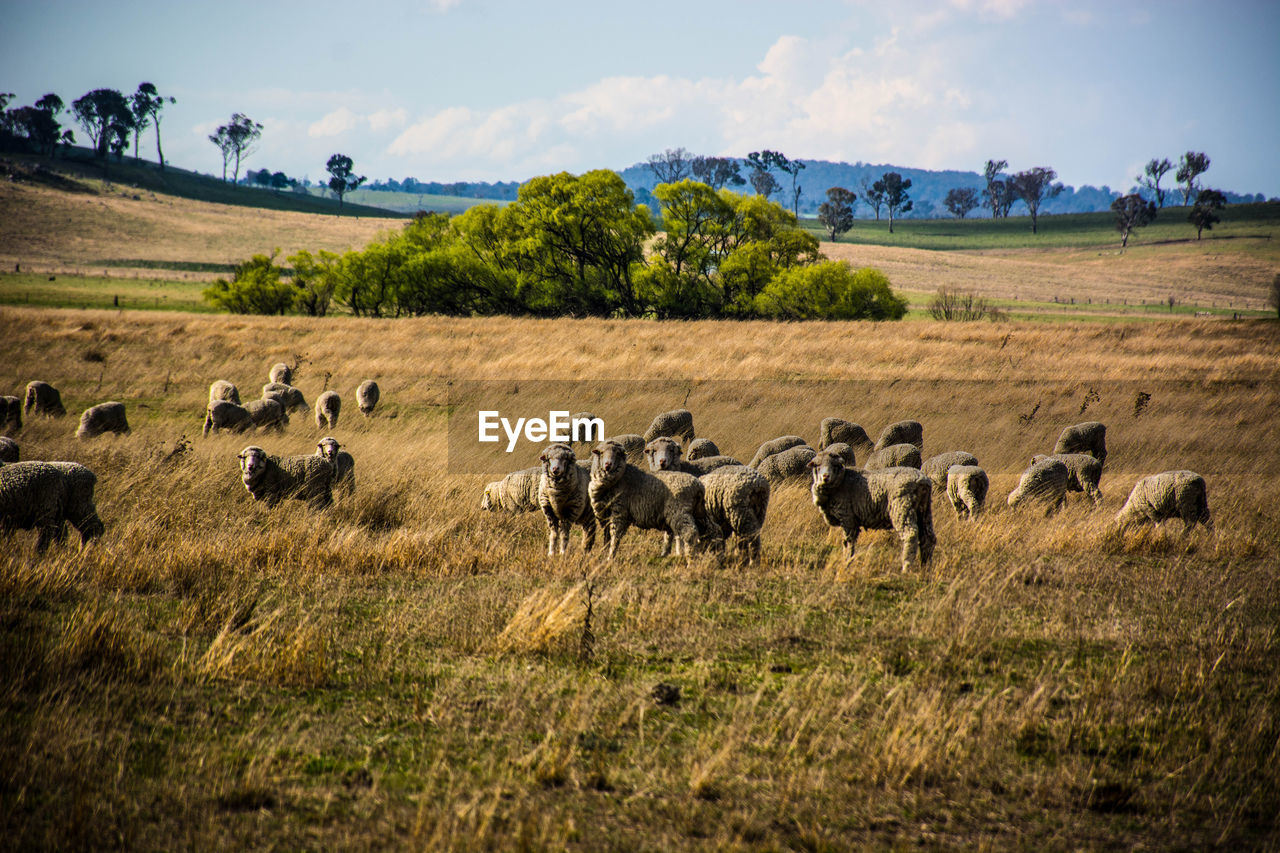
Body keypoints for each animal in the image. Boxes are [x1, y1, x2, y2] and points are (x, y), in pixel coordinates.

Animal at [586, 438, 716, 558]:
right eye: (601, 453)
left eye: (618, 453)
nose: (608, 465)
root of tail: (698, 485)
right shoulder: (604, 516)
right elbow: (606, 538)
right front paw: (604, 554)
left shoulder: (619, 512)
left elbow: (615, 537)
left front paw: (610, 557)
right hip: (697, 513)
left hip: (679, 512)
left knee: (690, 534)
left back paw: (690, 559)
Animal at [808, 445, 942, 571]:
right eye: (817, 465)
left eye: (834, 465)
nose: (825, 476)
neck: (840, 482)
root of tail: (922, 480)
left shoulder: (848, 518)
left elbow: (848, 543)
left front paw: (846, 562)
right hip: (924, 510)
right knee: (928, 538)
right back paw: (926, 567)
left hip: (902, 507)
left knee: (910, 535)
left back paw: (906, 567)